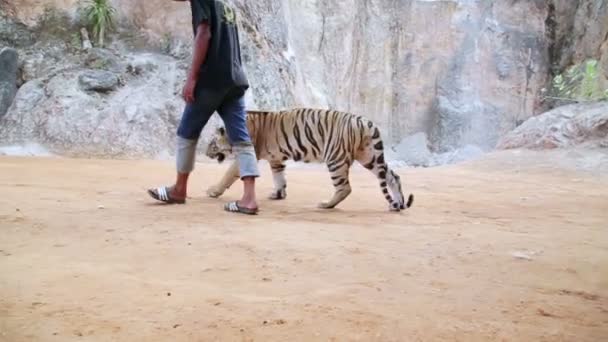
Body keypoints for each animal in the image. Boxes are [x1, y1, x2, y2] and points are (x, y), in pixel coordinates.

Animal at [204, 109, 414, 211]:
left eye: (212, 144)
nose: (206, 154)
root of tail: (365, 122)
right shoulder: (276, 159)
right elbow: (279, 177)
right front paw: (278, 194)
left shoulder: (246, 154)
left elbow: (228, 175)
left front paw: (213, 191)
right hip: (370, 156)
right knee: (393, 176)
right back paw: (397, 204)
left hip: (335, 159)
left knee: (344, 187)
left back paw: (326, 205)